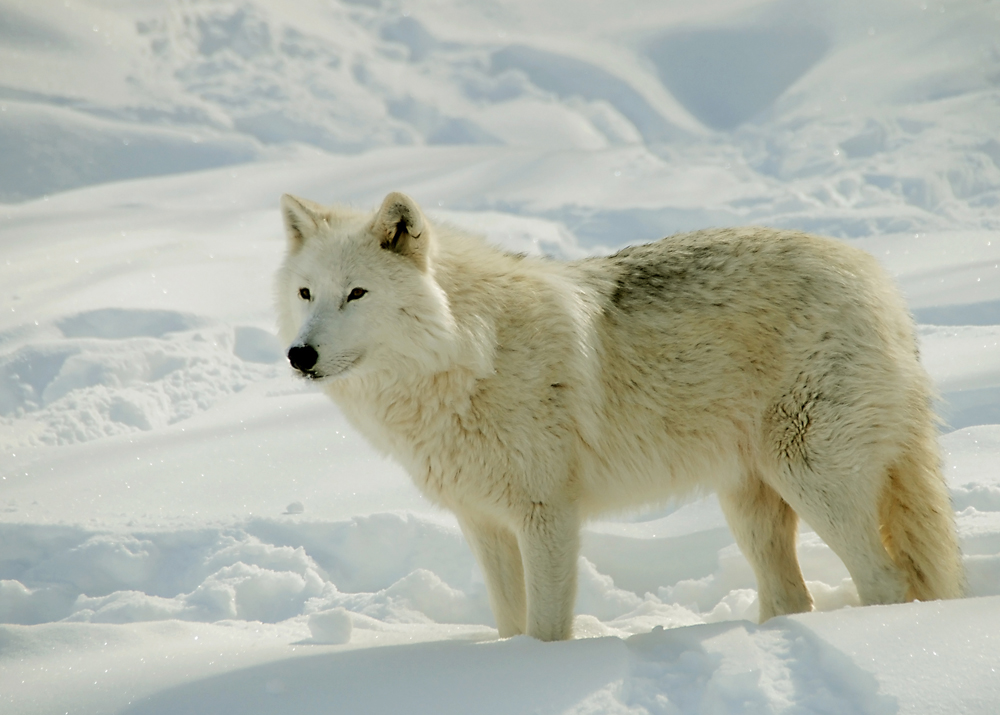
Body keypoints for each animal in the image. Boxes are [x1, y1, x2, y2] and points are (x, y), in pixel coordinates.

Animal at [278, 190, 964, 644]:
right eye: (306, 293)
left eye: (357, 293)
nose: (299, 355)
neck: (470, 353)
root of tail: (880, 283)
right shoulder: (484, 522)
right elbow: (509, 623)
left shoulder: (547, 516)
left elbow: (546, 628)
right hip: (750, 504)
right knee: (793, 596)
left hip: (811, 476)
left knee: (886, 577)